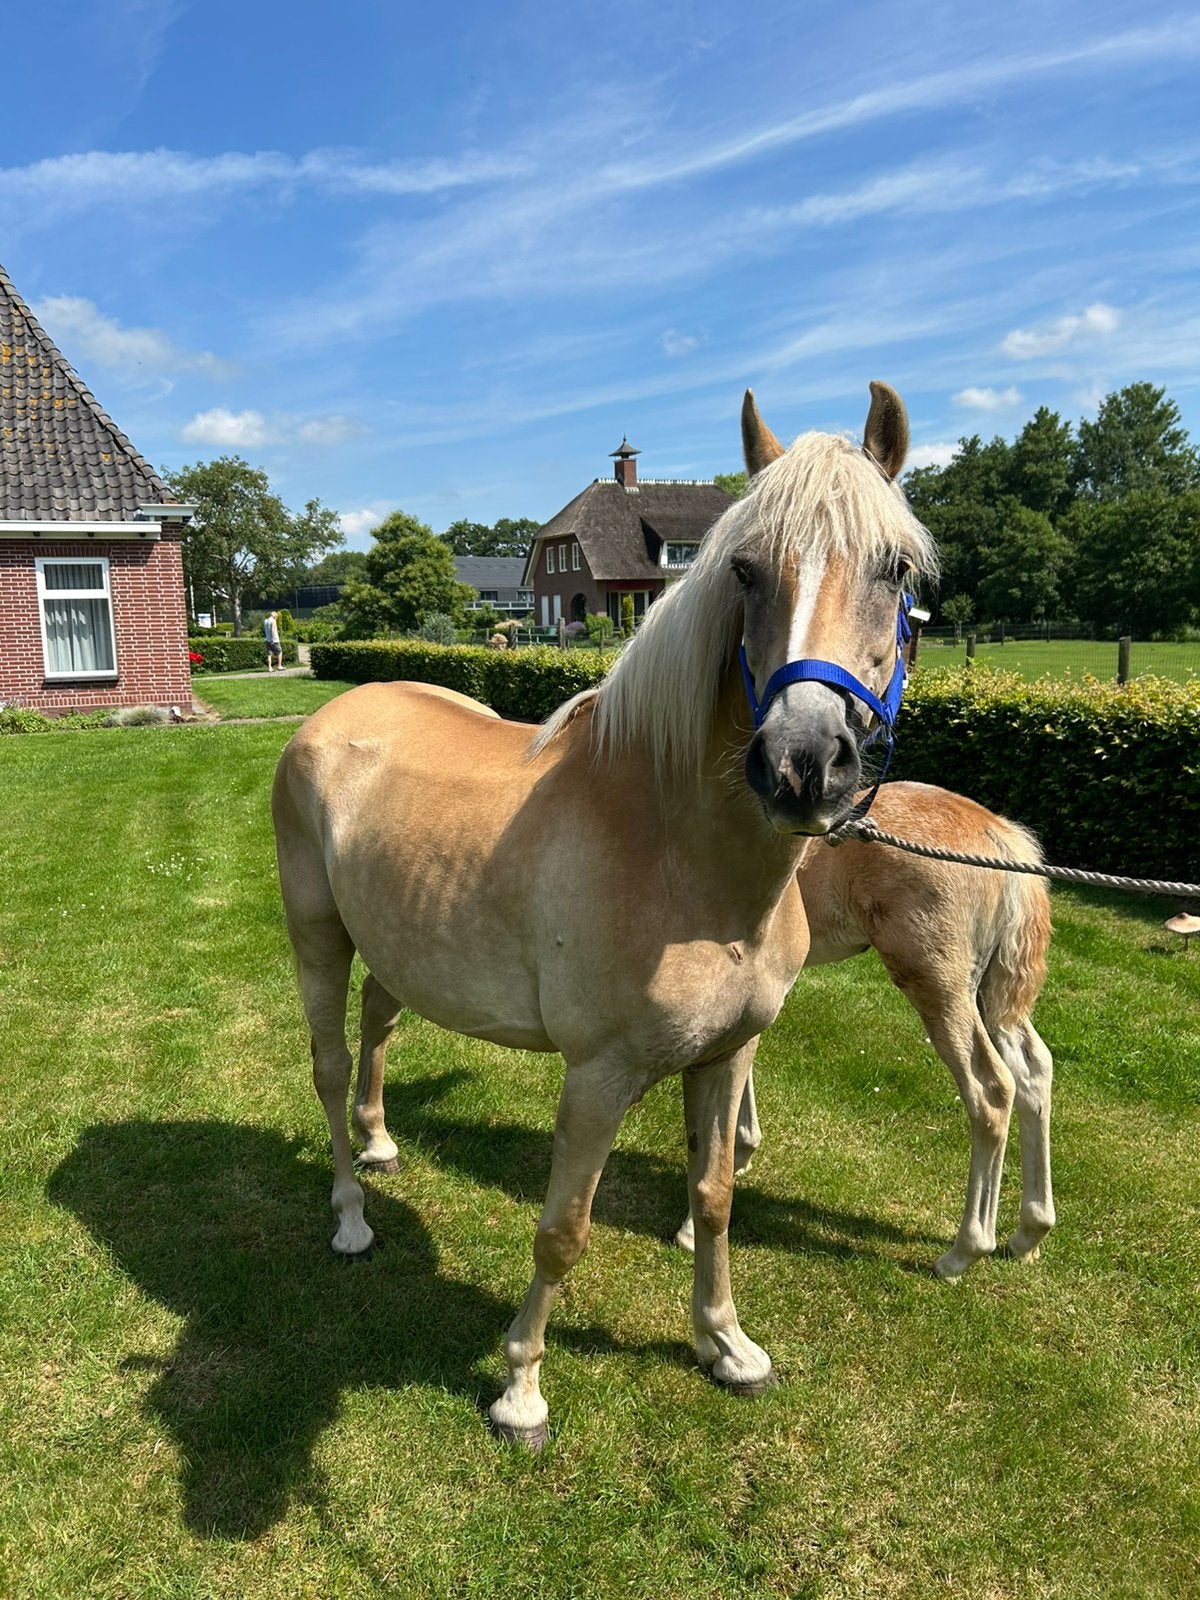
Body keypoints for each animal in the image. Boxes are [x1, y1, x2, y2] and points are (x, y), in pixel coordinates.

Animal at [272, 383, 937, 1447]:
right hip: (317, 937)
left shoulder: (728, 1057)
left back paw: (380, 1144)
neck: (685, 861)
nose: (801, 765)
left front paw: (726, 1345)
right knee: (330, 1066)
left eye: (897, 568)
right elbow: (563, 1232)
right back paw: (349, 1214)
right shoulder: (597, 1078)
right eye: (745, 569)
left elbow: (714, 1198)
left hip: (399, 945)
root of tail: (334, 713)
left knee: (377, 1025)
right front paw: (520, 1388)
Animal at [675, 781, 1055, 1280]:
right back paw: (1030, 1233)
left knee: (991, 1089)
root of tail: (999, 834)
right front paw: (739, 1158)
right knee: (1035, 1071)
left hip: (937, 984)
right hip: (990, 995)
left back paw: (963, 1252)